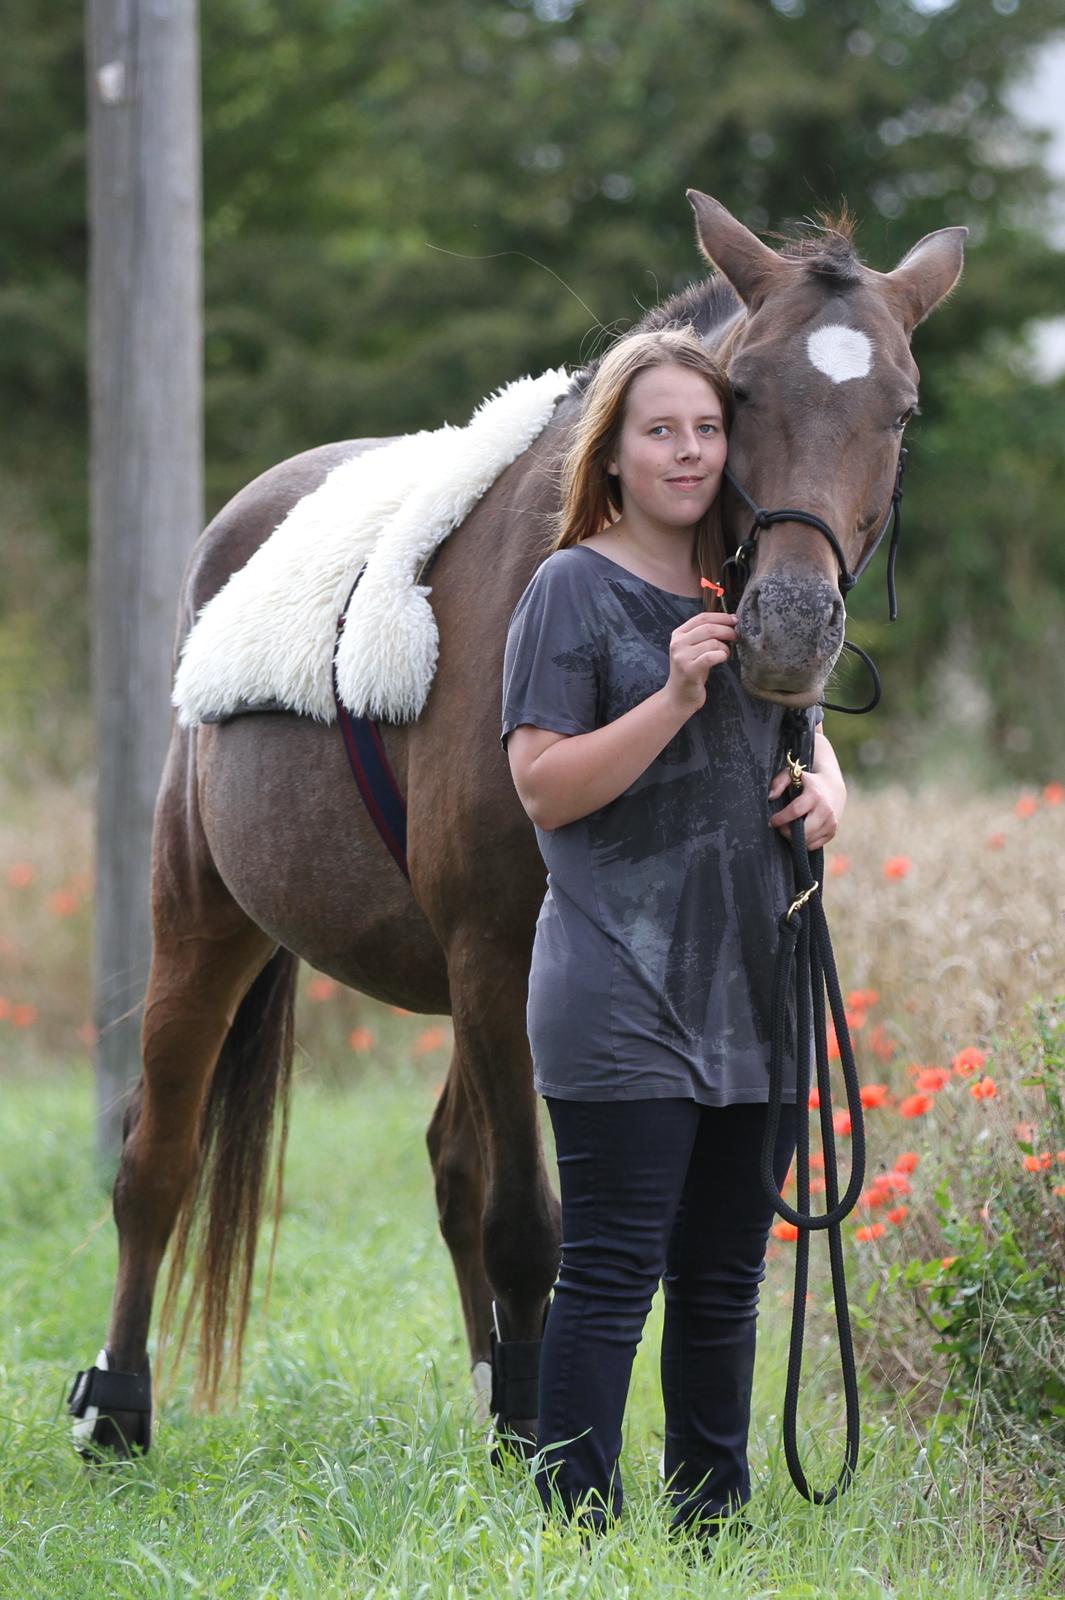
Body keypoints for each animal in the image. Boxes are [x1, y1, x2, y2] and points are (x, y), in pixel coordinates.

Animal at [68, 193, 959, 1459]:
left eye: (901, 409)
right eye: (740, 392)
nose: (790, 625)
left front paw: (524, 1422)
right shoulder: (491, 950)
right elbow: (528, 1221)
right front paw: (549, 1441)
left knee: (448, 1165)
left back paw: (493, 1390)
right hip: (206, 919)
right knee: (157, 1157)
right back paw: (118, 1406)